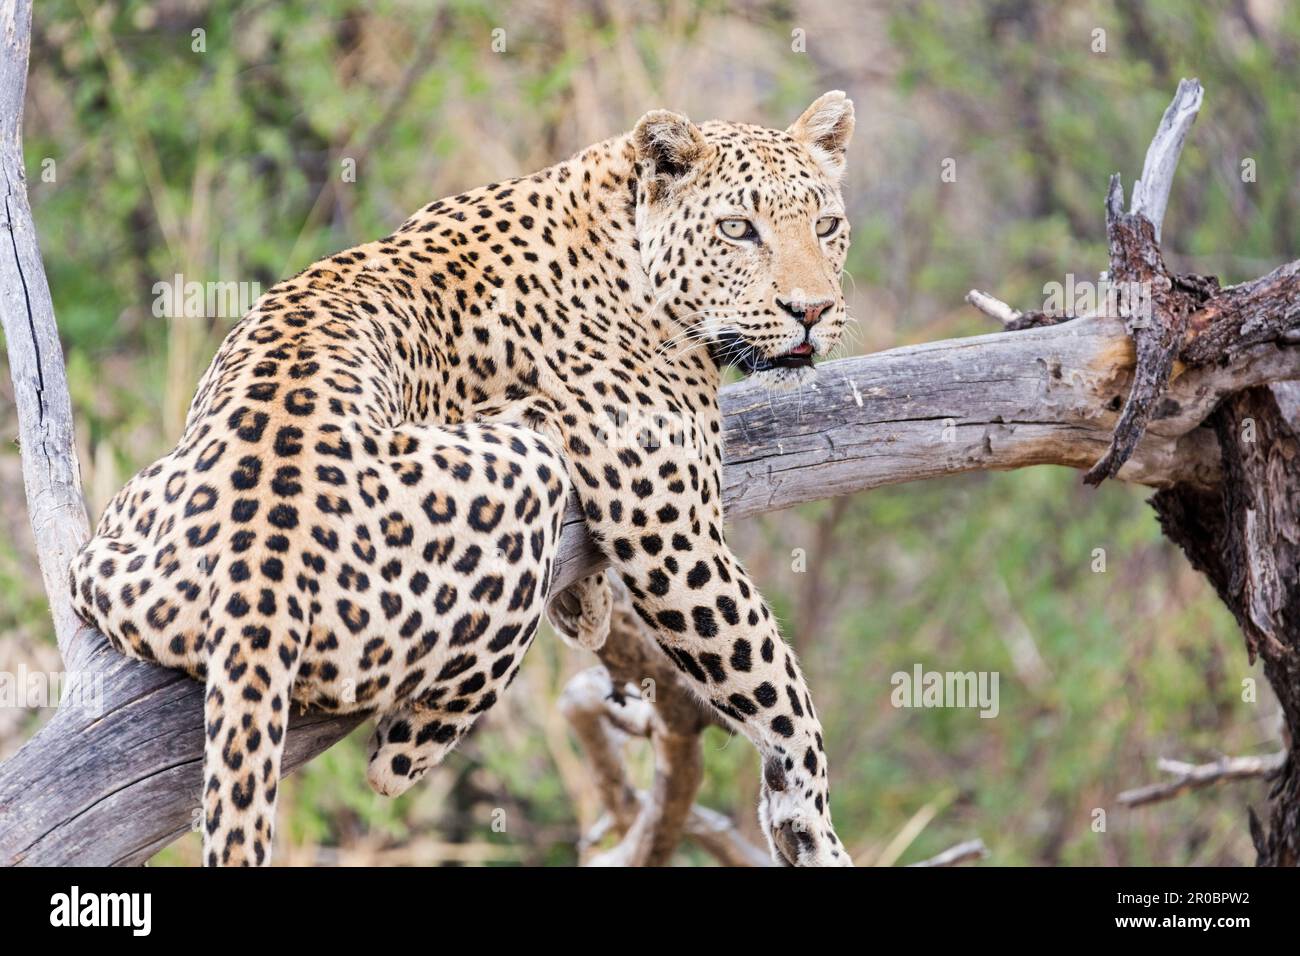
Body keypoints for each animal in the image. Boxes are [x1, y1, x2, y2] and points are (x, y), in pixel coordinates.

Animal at [69, 91, 857, 867]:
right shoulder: (674, 533)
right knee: (393, 758)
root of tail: (258, 579)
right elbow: (778, 690)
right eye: (738, 229)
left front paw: (586, 607)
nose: (812, 311)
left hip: (121, 538)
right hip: (522, 477)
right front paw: (811, 825)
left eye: (826, 225)